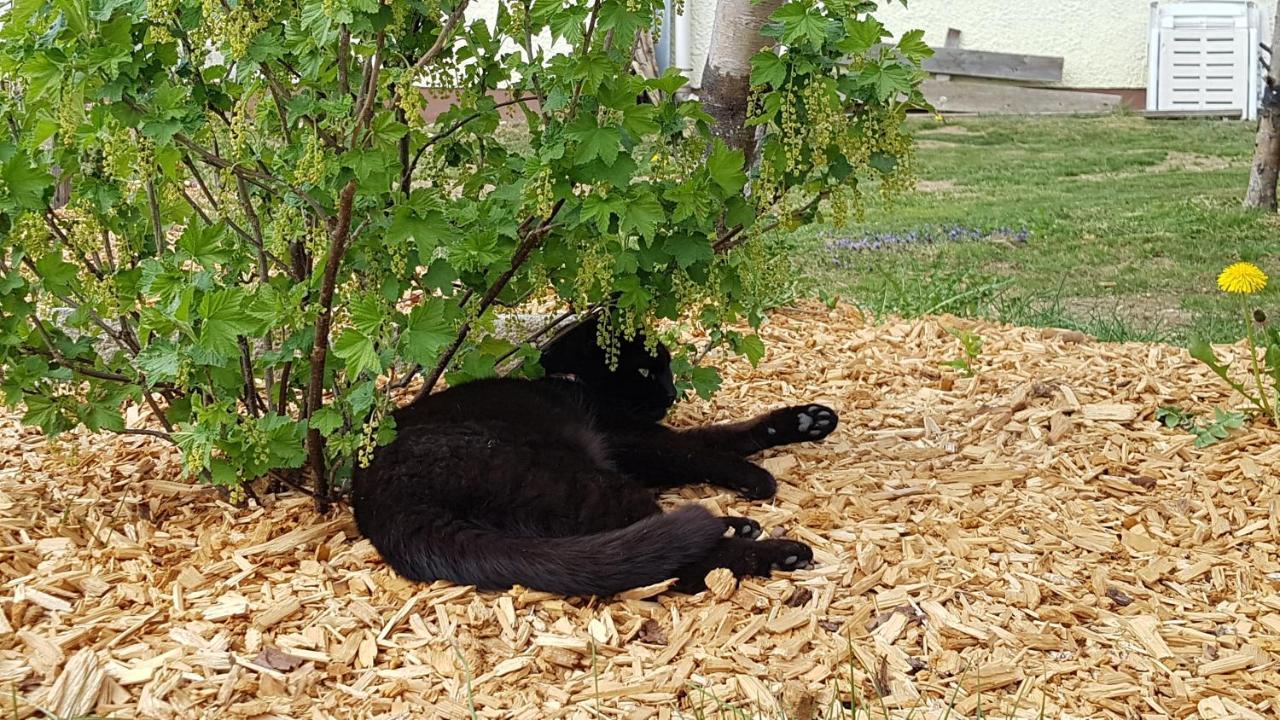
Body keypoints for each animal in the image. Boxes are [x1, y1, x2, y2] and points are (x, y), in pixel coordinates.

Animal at [348, 315, 839, 594]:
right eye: (646, 369)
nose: (671, 392)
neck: (572, 380)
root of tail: (382, 503)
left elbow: (719, 435)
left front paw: (805, 422)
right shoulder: (631, 440)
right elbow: (694, 450)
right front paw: (756, 478)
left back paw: (740, 526)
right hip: (579, 479)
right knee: (673, 565)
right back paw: (781, 551)